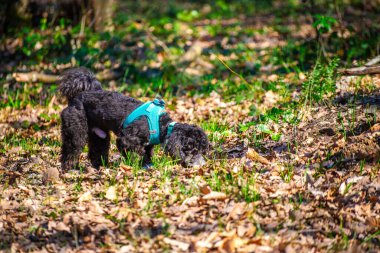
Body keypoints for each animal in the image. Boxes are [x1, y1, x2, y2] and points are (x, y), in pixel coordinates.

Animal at [58, 67, 209, 171]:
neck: (163, 126)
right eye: (192, 149)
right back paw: (70, 168)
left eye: (202, 150)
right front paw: (137, 165)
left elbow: (147, 154)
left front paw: (147, 165)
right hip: (76, 130)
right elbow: (136, 154)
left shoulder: (148, 145)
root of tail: (76, 98)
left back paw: (100, 167)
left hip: (99, 135)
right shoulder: (126, 140)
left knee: (97, 150)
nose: (202, 165)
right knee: (71, 149)